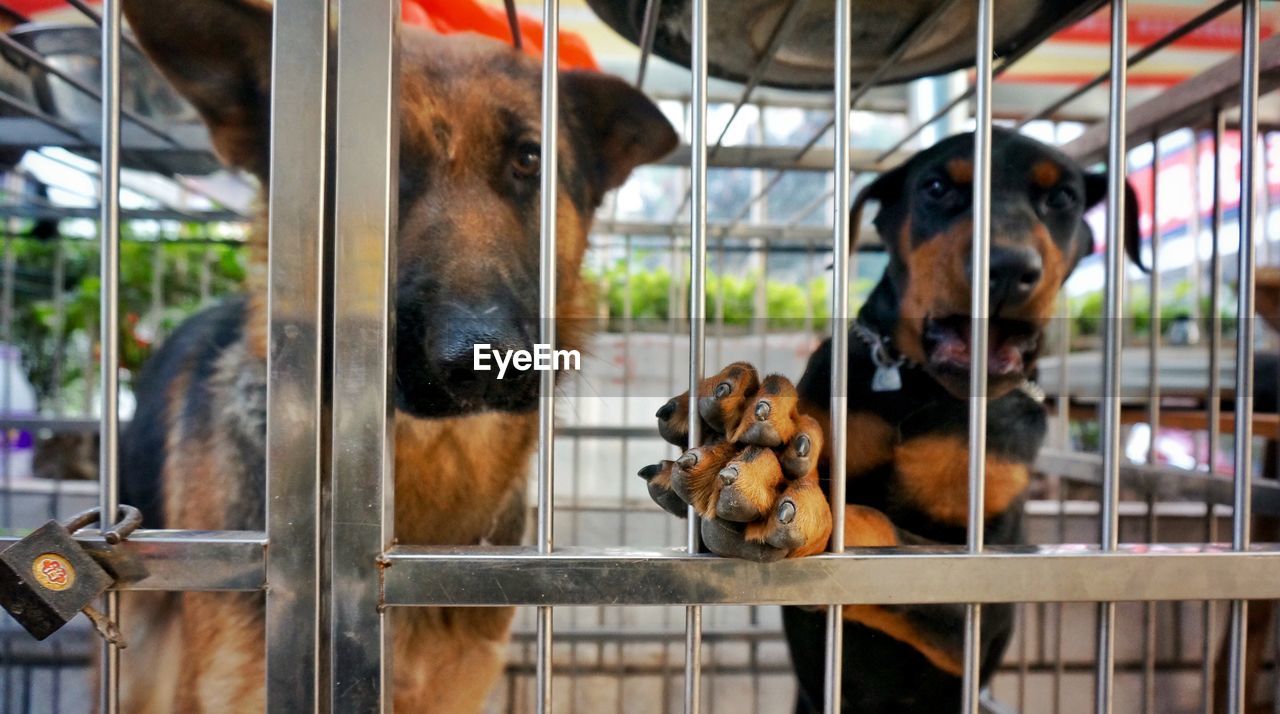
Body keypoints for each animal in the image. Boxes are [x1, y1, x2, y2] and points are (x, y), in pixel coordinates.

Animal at [645, 129, 1146, 714]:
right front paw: (740, 415)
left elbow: (885, 531)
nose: (1005, 268)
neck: (922, 385)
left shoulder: (987, 594)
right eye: (936, 188)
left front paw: (789, 495)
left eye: (1062, 197)